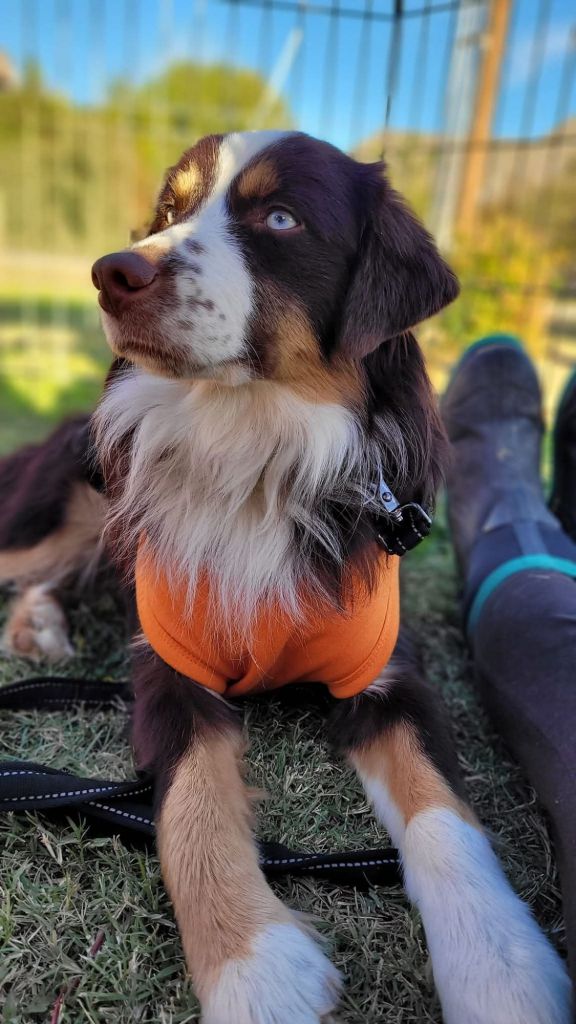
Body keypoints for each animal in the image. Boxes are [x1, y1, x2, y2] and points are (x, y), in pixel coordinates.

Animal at [0, 131, 571, 1024]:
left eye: (280, 218)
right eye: (170, 209)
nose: (111, 272)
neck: (255, 444)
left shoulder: (390, 676)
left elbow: (445, 811)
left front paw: (500, 965)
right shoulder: (169, 669)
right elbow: (193, 806)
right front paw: (257, 969)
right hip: (77, 502)